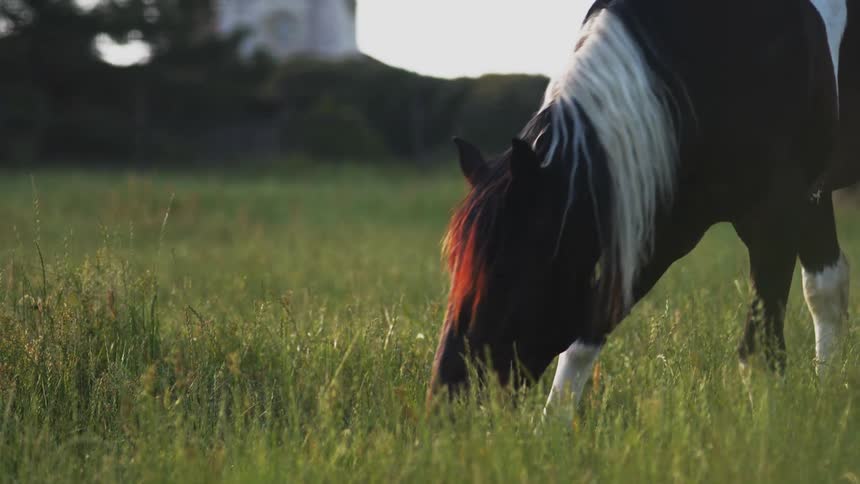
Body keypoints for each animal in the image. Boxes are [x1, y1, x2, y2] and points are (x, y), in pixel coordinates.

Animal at [428, 0, 857, 412]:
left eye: (510, 268)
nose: (446, 398)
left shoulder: (777, 212)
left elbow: (761, 352)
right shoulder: (661, 217)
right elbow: (586, 333)